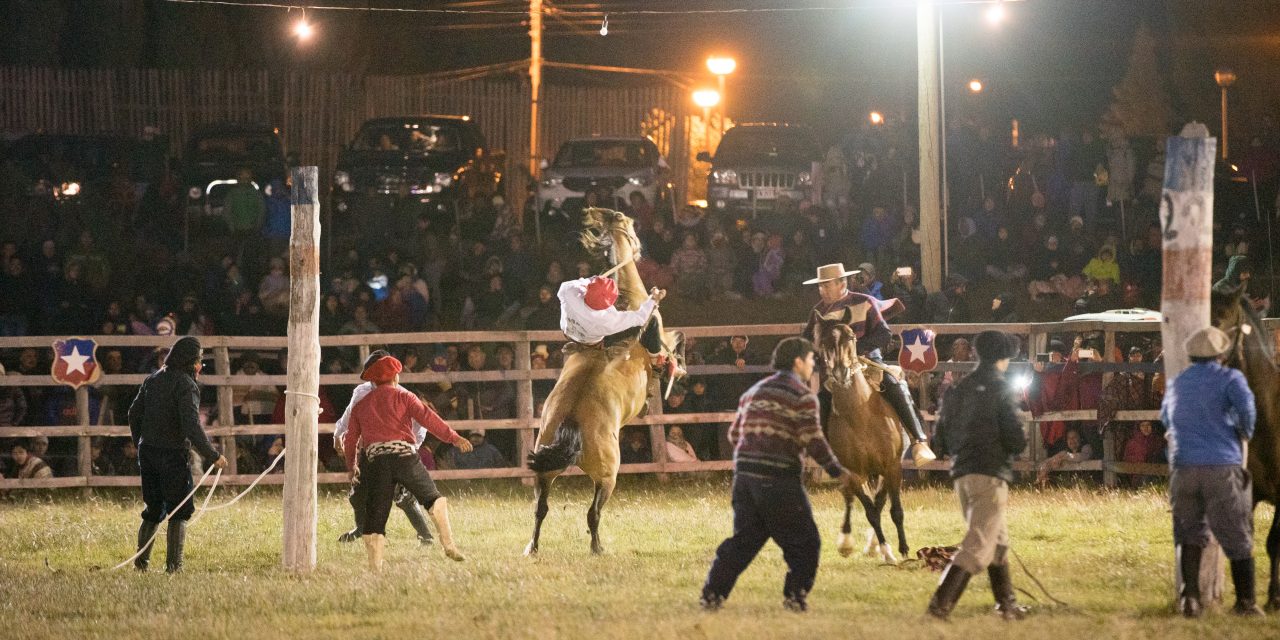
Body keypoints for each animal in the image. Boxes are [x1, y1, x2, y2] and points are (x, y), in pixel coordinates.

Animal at [527, 208, 675, 555]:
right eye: (631, 225)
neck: (626, 300)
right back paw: (598, 548)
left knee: (541, 508)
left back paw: (532, 547)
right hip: (607, 474)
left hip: (543, 470)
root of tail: (571, 423)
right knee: (593, 512)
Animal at [808, 311, 911, 565]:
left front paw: (903, 549)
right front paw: (886, 550)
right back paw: (847, 542)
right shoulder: (853, 473)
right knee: (851, 497)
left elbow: (893, 510)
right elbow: (871, 512)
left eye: (852, 336)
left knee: (881, 499)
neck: (861, 415)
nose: (841, 372)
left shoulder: (893, 466)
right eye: (823, 340)